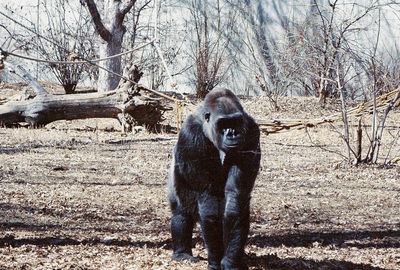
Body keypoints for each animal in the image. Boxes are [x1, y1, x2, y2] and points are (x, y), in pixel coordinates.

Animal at [167, 88, 260, 270]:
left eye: (236, 122)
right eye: (223, 123)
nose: (232, 133)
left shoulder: (251, 131)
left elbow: (236, 199)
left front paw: (231, 261)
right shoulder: (190, 135)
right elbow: (208, 200)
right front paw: (216, 261)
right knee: (182, 212)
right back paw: (182, 253)